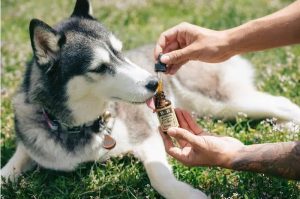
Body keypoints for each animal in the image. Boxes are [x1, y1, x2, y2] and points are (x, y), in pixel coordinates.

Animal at [1, 0, 298, 198]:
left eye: (120, 52)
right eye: (99, 67)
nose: (154, 83)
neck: (79, 127)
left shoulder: (147, 134)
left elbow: (158, 176)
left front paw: (185, 194)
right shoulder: (32, 140)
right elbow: (12, 164)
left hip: (220, 101)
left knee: (282, 102)